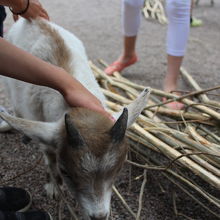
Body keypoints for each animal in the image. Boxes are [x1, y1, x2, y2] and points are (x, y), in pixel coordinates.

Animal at [0, 18, 150, 220]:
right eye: (66, 172)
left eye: (118, 169)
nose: (99, 216)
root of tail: (33, 19)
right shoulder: (44, 131)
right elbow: (50, 157)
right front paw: (53, 187)